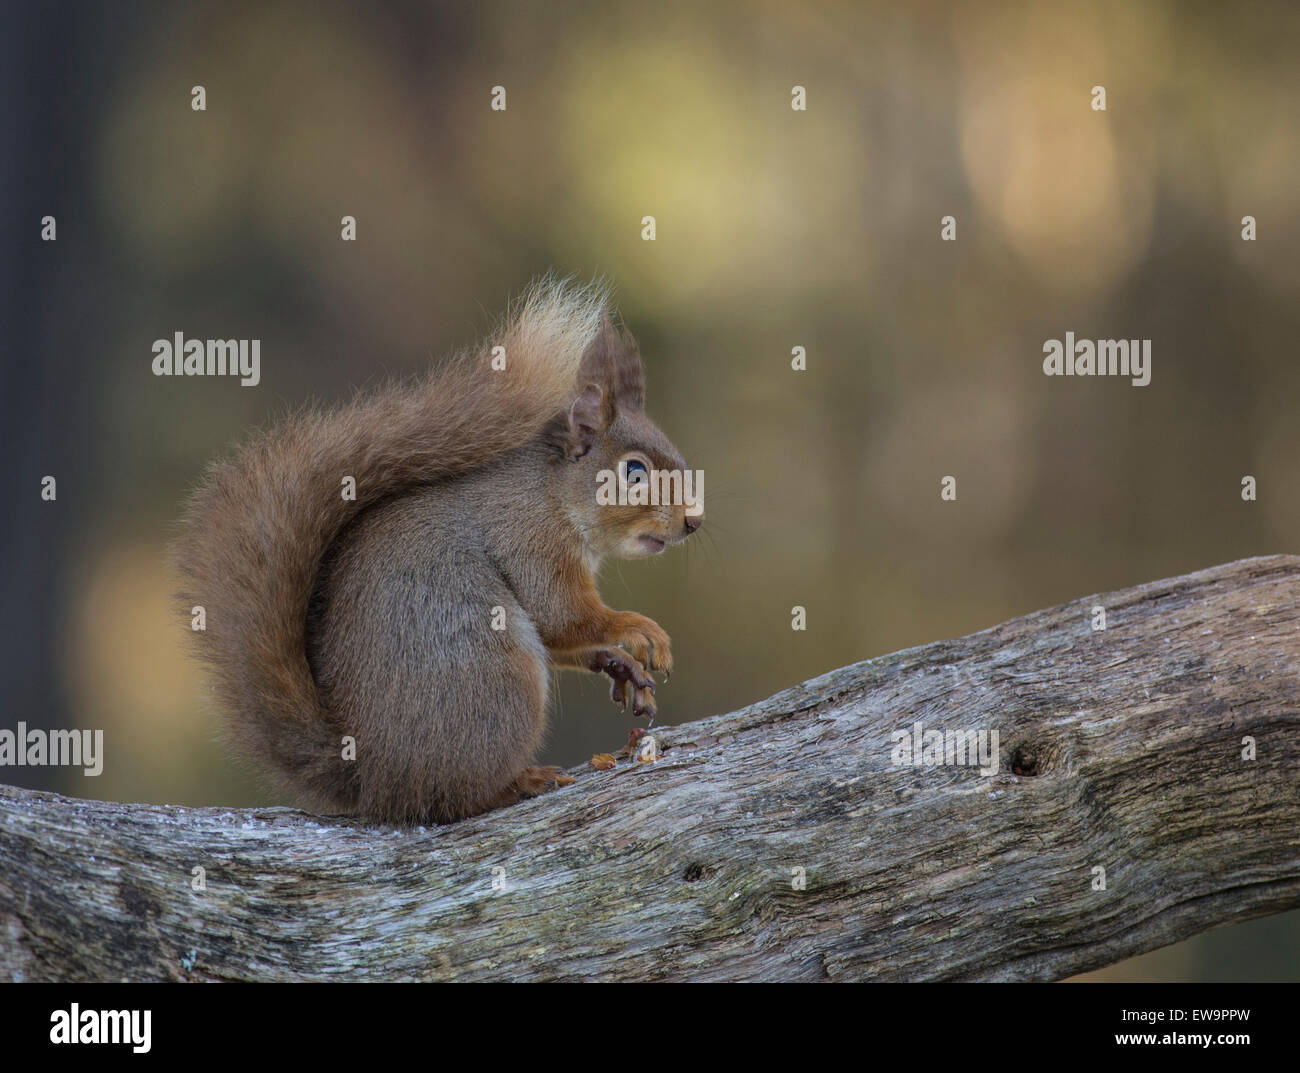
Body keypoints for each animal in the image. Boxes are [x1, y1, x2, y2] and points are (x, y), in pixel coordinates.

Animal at [175, 275, 702, 821]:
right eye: (634, 471)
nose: (694, 521)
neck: (551, 495)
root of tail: (374, 782)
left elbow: (560, 636)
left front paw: (619, 664)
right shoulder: (529, 537)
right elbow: (563, 614)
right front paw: (641, 631)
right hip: (494, 678)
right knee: (452, 797)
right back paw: (519, 782)